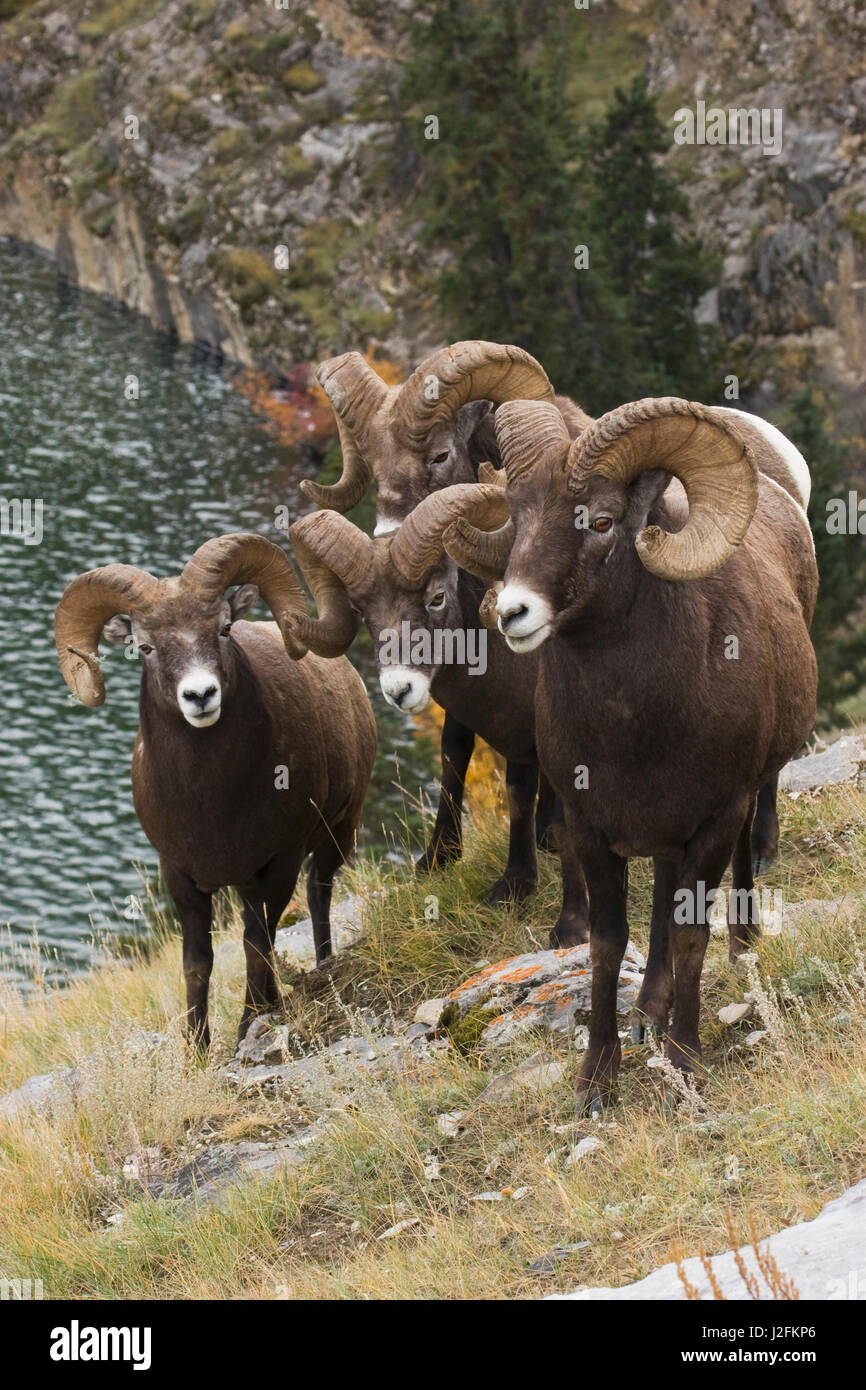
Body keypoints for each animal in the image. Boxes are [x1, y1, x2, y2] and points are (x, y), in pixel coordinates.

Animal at [54, 533, 377, 1048]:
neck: (210, 802)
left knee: (317, 892)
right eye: (145, 646)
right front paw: (197, 1047)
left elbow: (256, 944)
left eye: (224, 629)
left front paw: (250, 1025)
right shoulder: (181, 875)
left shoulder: (278, 863)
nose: (200, 696)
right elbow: (198, 962)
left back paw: (322, 968)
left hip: (339, 832)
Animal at [286, 484, 590, 940]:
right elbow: (455, 762)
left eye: (437, 597)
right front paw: (436, 861)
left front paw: (525, 897)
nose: (399, 691)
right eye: (362, 612)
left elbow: (524, 796)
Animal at [446, 397, 817, 1110]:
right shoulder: (591, 828)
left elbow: (691, 935)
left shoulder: (714, 820)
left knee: (734, 875)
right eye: (518, 518)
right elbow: (609, 943)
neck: (636, 727)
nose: (512, 612)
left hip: (739, 808)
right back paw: (647, 1013)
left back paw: (743, 947)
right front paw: (597, 1081)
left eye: (602, 522)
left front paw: (686, 1066)